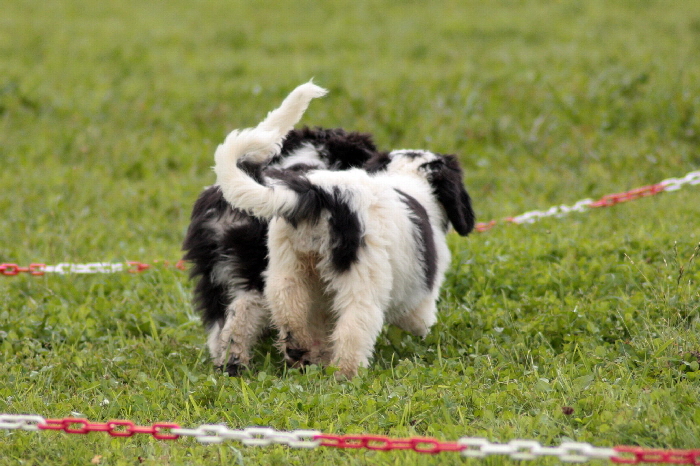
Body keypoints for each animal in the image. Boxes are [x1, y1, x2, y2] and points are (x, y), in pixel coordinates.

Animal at [180, 120, 378, 374]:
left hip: (211, 276)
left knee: (218, 322)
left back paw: (222, 362)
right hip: (254, 269)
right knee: (241, 316)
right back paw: (236, 362)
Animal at [215, 82, 476, 376]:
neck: (408, 181)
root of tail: (320, 194)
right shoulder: (420, 290)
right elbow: (418, 320)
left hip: (287, 265)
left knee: (284, 306)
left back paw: (298, 350)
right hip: (361, 276)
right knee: (355, 323)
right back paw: (346, 373)